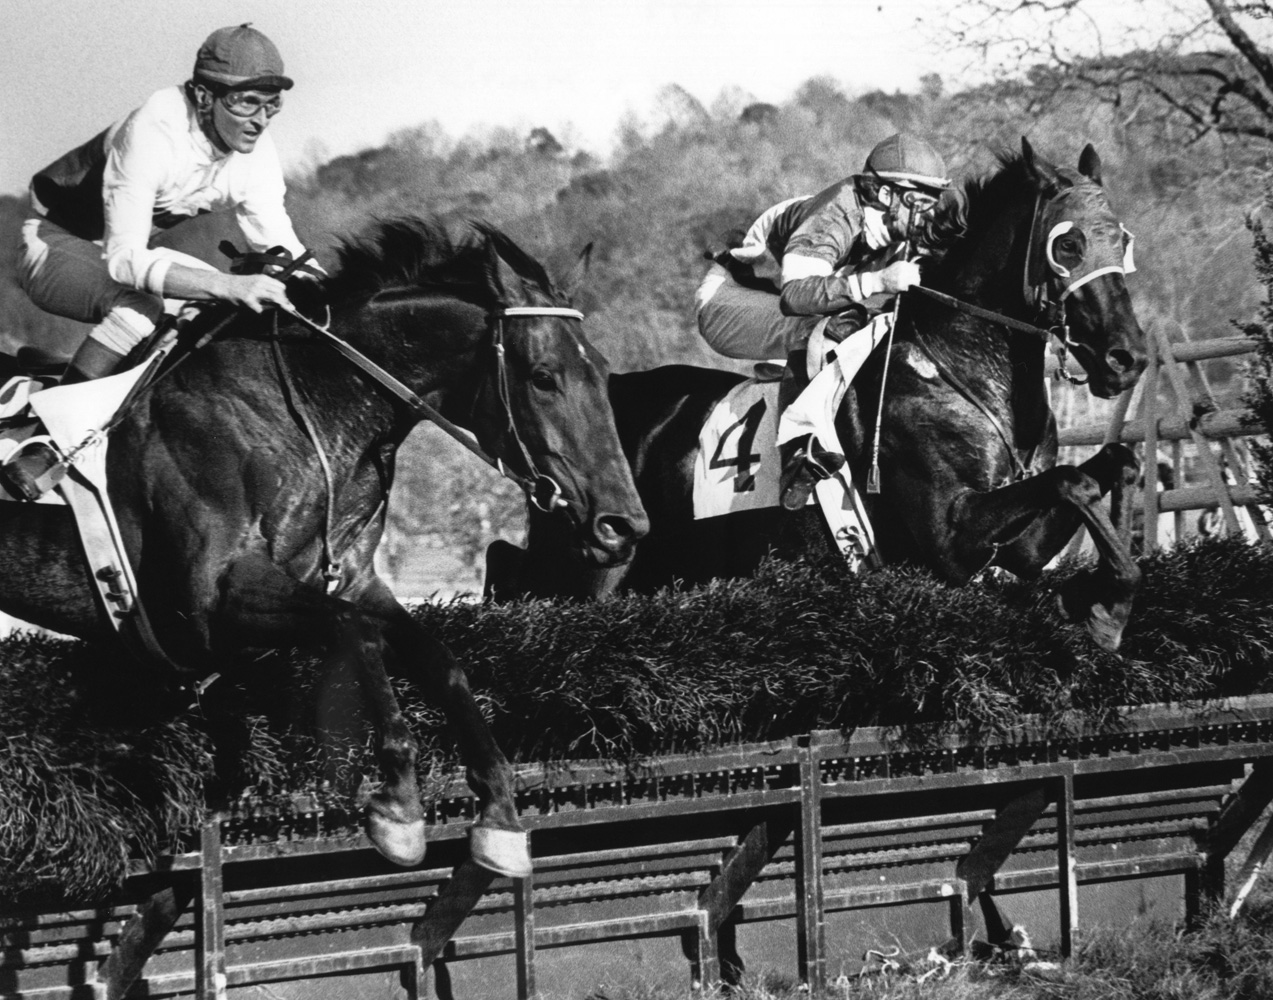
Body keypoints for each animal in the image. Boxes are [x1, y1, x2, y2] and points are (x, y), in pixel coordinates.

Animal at [486, 139, 1145, 651]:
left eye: (1122, 240)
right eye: (1068, 245)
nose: (1128, 357)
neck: (959, 366)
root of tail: (608, 392)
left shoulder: (1019, 546)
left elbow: (1106, 468)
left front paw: (1106, 602)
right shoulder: (950, 535)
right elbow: (1072, 481)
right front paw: (1108, 609)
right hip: (591, 561)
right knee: (508, 566)